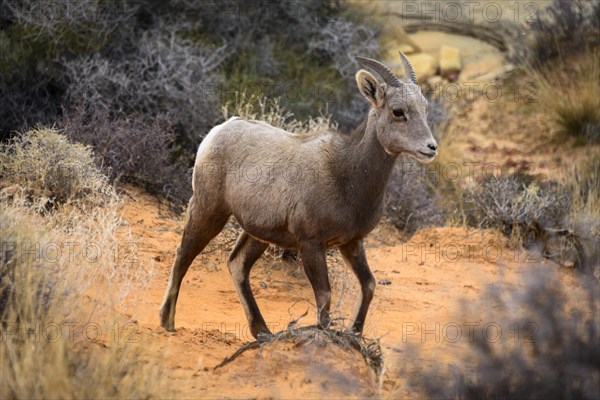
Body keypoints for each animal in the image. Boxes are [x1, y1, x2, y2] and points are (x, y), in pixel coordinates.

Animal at [162, 52, 438, 340]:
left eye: (424, 109)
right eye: (398, 111)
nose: (431, 148)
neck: (345, 175)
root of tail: (218, 131)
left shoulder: (351, 243)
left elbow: (369, 286)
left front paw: (354, 335)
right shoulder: (310, 244)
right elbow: (325, 297)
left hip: (256, 234)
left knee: (237, 265)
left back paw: (263, 333)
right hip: (209, 210)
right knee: (184, 253)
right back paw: (167, 322)